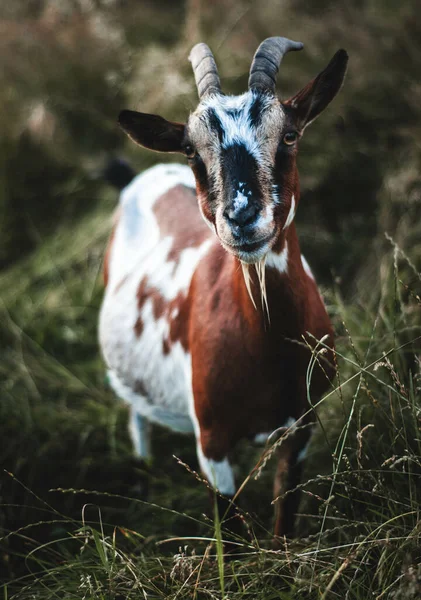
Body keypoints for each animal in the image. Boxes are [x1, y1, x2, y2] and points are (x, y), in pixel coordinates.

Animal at [99, 38, 348, 540]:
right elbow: (228, 529)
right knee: (135, 413)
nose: (241, 217)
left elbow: (285, 513)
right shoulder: (211, 441)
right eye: (192, 151)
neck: (269, 351)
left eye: (289, 135)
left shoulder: (302, 424)